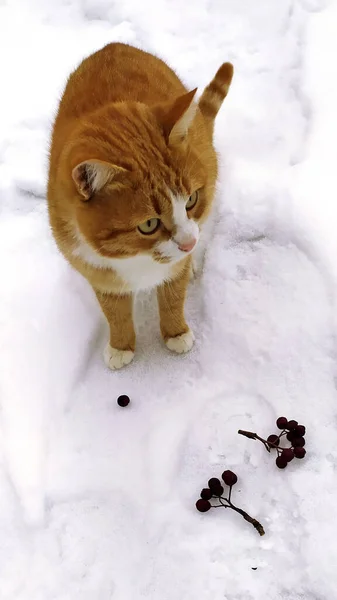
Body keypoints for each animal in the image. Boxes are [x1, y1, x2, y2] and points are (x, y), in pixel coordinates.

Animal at [47, 42, 232, 368]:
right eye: (148, 224)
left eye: (192, 199)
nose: (188, 244)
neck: (136, 258)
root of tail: (113, 45)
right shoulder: (98, 271)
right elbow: (114, 312)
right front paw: (121, 346)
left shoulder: (177, 265)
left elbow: (173, 297)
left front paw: (176, 333)